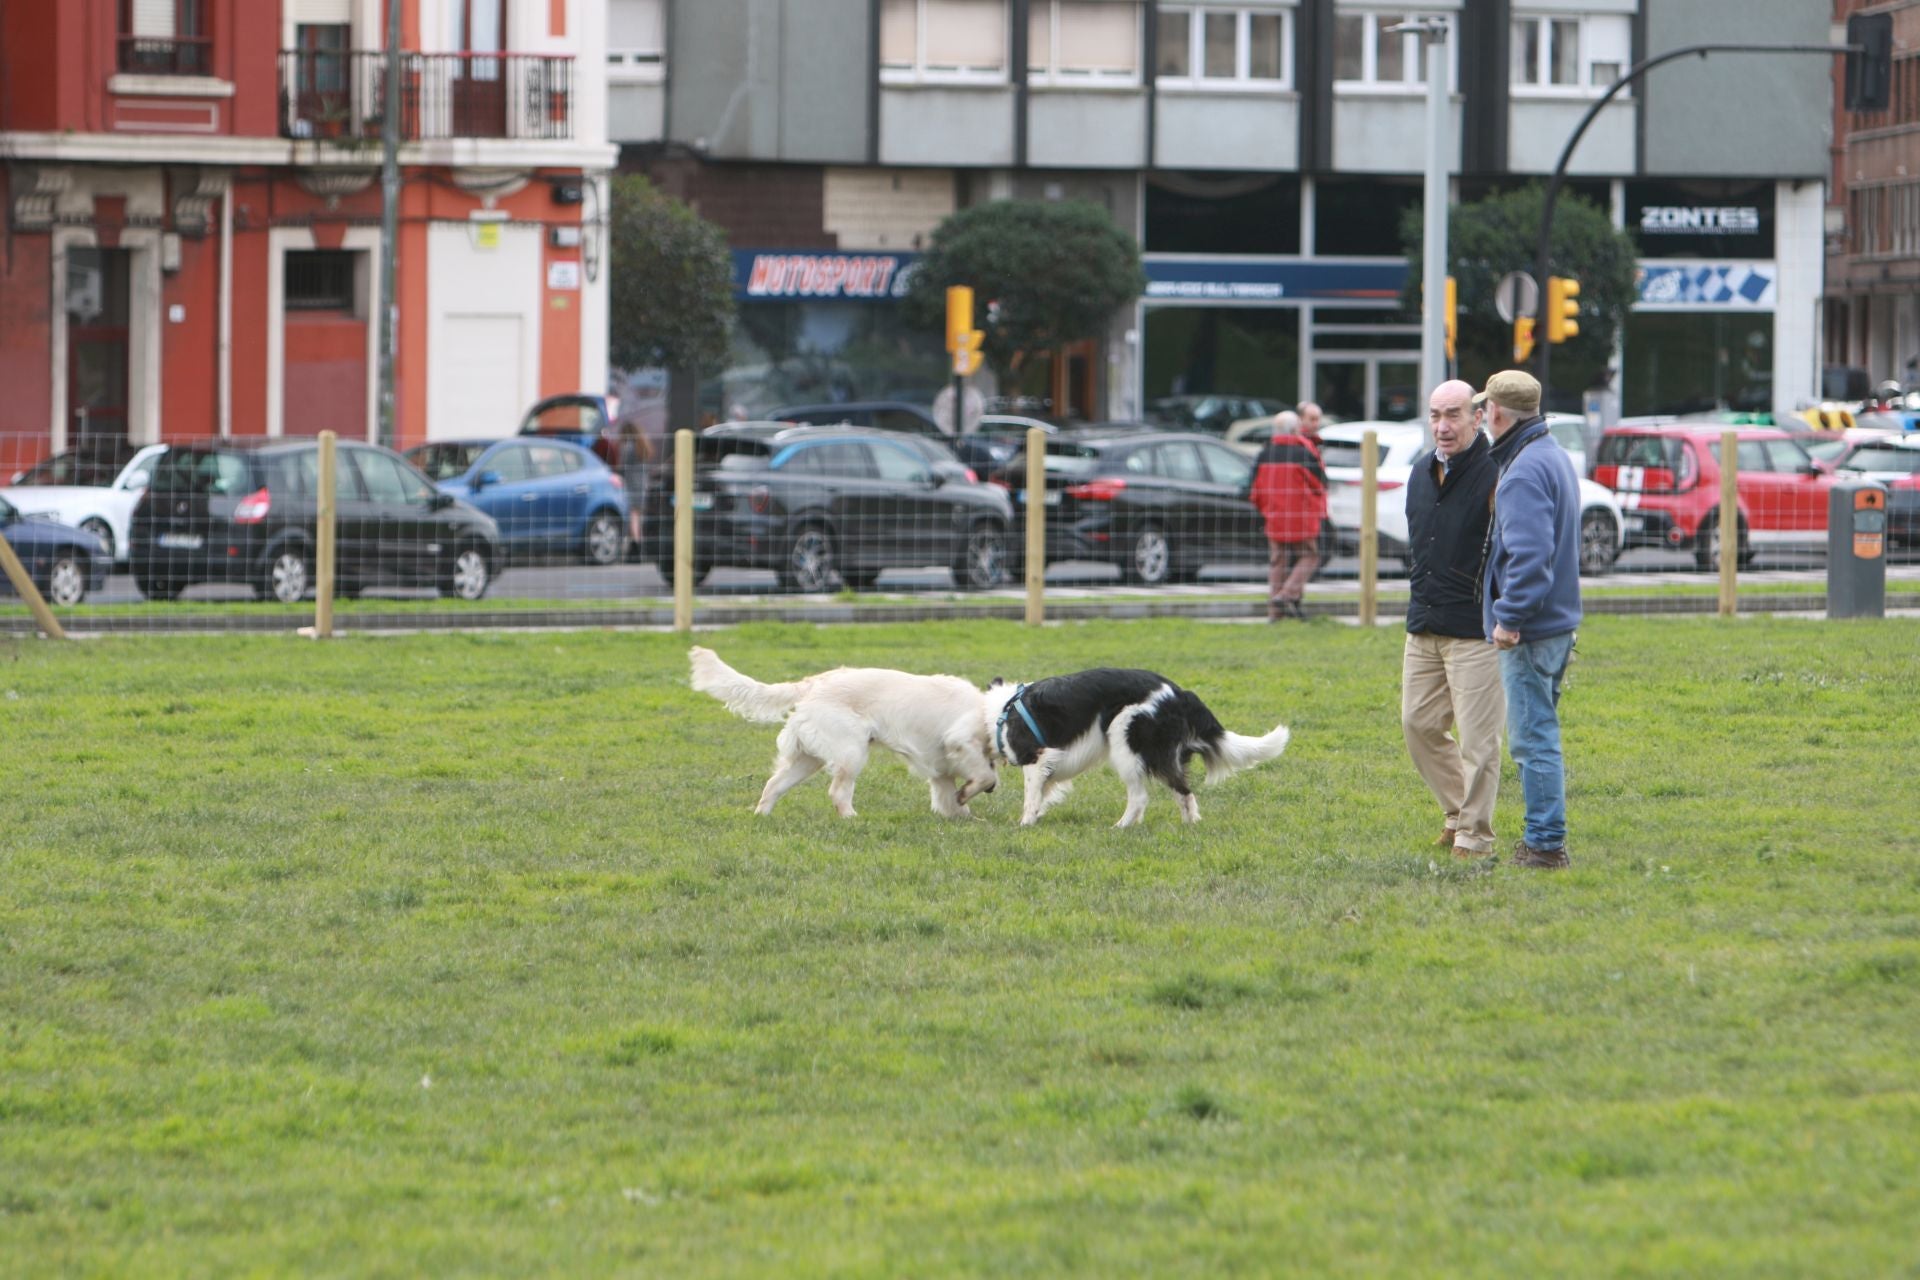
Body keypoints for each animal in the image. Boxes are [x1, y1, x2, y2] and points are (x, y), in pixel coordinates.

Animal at [691, 652, 998, 821]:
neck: (990, 710)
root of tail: (813, 682)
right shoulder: (959, 742)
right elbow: (983, 775)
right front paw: (970, 796)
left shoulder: (940, 769)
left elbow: (950, 796)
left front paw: (965, 815)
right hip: (852, 752)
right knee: (837, 791)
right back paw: (851, 818)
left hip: (807, 759)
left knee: (773, 785)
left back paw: (761, 816)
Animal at [990, 671, 1290, 832]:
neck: (1001, 713)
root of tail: (1180, 693)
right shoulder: (1051, 764)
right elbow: (1043, 792)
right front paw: (1038, 814)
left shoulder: (1036, 757)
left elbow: (1031, 796)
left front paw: (1026, 822)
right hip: (1163, 754)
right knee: (1184, 790)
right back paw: (1189, 824)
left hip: (1125, 741)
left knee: (1140, 797)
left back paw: (1121, 826)